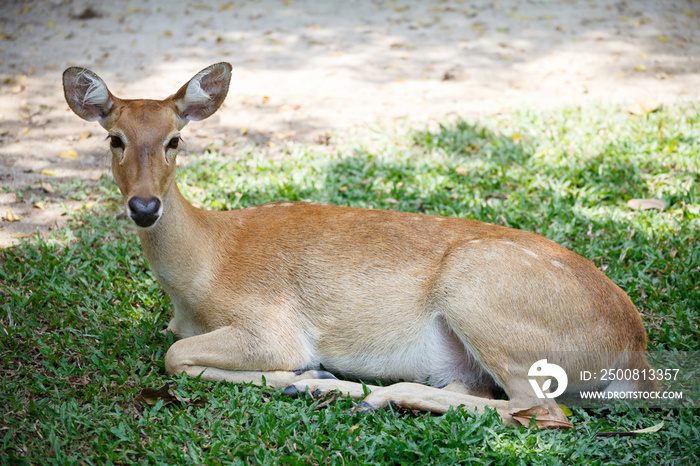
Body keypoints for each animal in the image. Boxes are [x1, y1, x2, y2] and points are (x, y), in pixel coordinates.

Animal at [61, 62, 656, 430]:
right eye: (114, 138)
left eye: (174, 140)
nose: (143, 206)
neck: (202, 271)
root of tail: (636, 355)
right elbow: (175, 349)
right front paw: (308, 383)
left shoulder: (271, 325)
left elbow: (175, 356)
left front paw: (307, 379)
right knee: (489, 395)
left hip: (482, 291)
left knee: (542, 412)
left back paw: (372, 394)